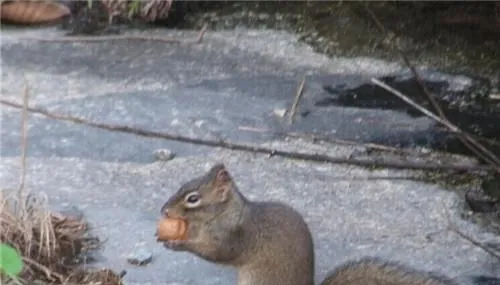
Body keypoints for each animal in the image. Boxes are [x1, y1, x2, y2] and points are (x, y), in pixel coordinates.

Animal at [160, 162, 500, 284]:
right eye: (182, 185)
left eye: (192, 198)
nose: (164, 210)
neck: (228, 213)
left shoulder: (235, 237)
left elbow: (217, 253)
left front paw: (176, 242)